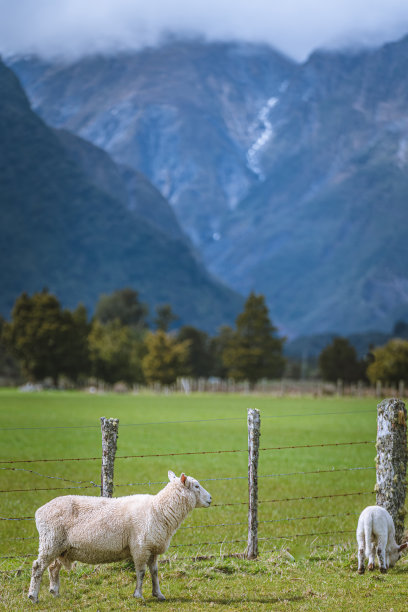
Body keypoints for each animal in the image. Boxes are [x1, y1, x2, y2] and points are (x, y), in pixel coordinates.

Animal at [27, 470, 212, 604]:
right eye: (196, 486)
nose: (210, 499)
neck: (159, 510)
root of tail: (39, 511)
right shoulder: (140, 547)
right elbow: (141, 572)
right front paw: (138, 595)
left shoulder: (152, 548)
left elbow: (154, 572)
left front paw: (158, 594)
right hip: (50, 541)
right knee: (38, 567)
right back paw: (33, 596)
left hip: (61, 547)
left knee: (52, 568)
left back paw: (55, 592)